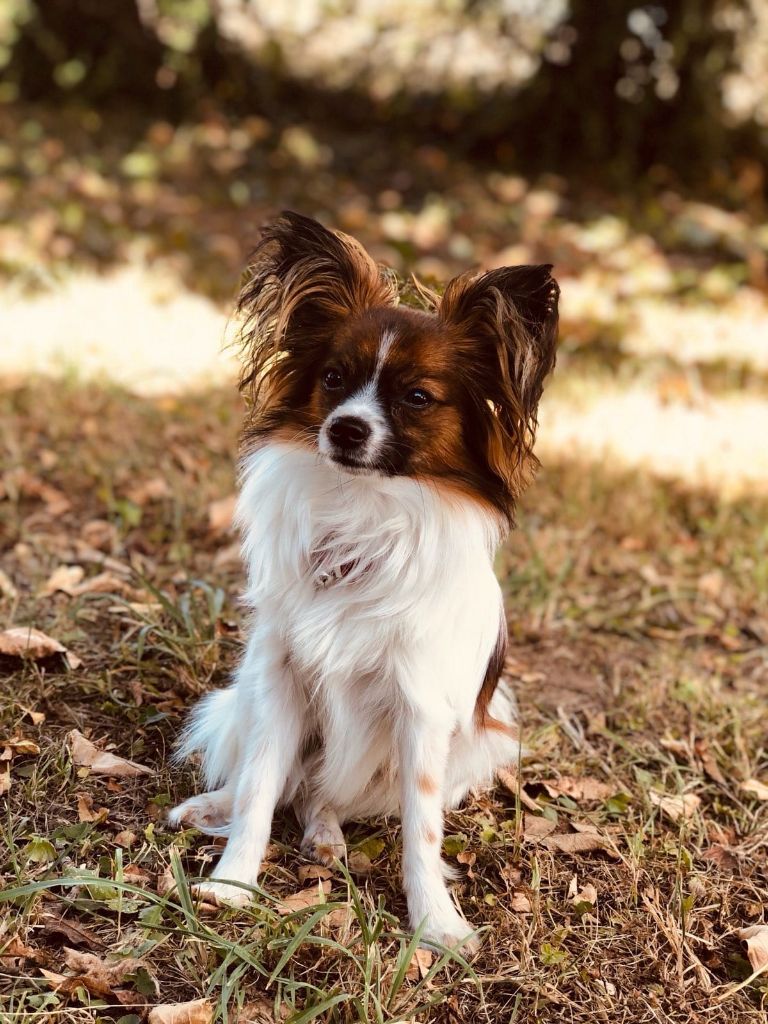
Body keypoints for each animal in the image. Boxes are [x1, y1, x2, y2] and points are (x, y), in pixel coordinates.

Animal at [169, 209, 561, 950]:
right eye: (332, 377)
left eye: (417, 398)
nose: (346, 429)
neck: (363, 510)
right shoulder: (280, 678)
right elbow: (260, 788)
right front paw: (233, 884)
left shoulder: (421, 711)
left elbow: (421, 831)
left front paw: (435, 922)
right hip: (243, 696)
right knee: (280, 780)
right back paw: (210, 807)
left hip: (481, 742)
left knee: (321, 794)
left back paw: (324, 837)